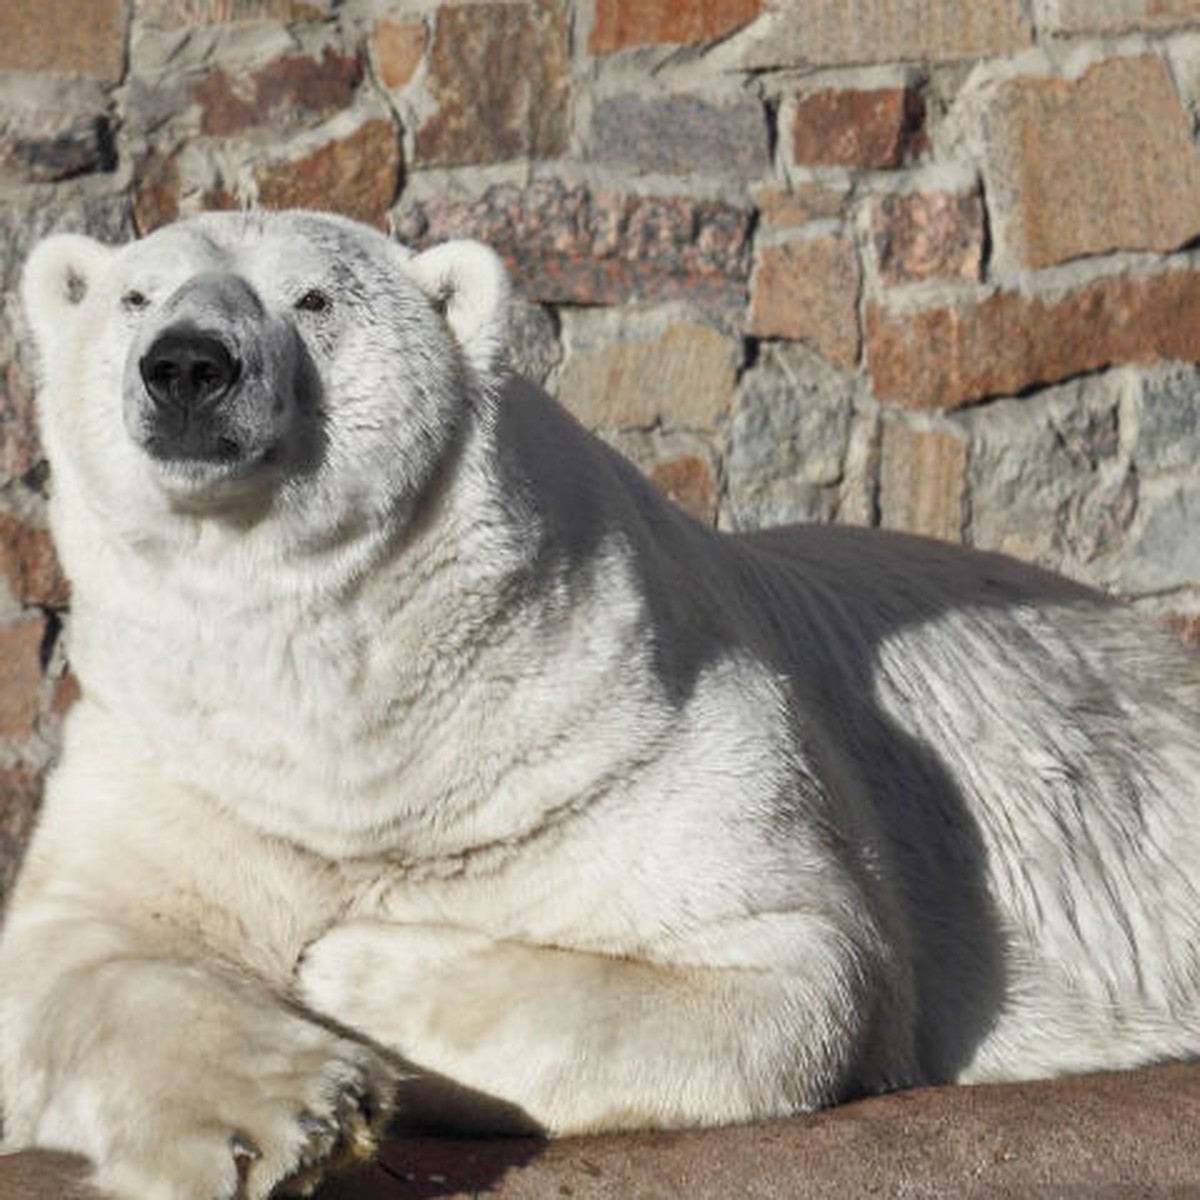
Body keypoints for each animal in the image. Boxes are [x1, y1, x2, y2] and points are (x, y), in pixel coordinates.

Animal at [2, 208, 1200, 1200]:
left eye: (313, 298)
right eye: (136, 296)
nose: (187, 366)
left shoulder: (630, 723)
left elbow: (798, 969)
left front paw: (347, 969)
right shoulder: (185, 753)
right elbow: (77, 949)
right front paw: (286, 1118)